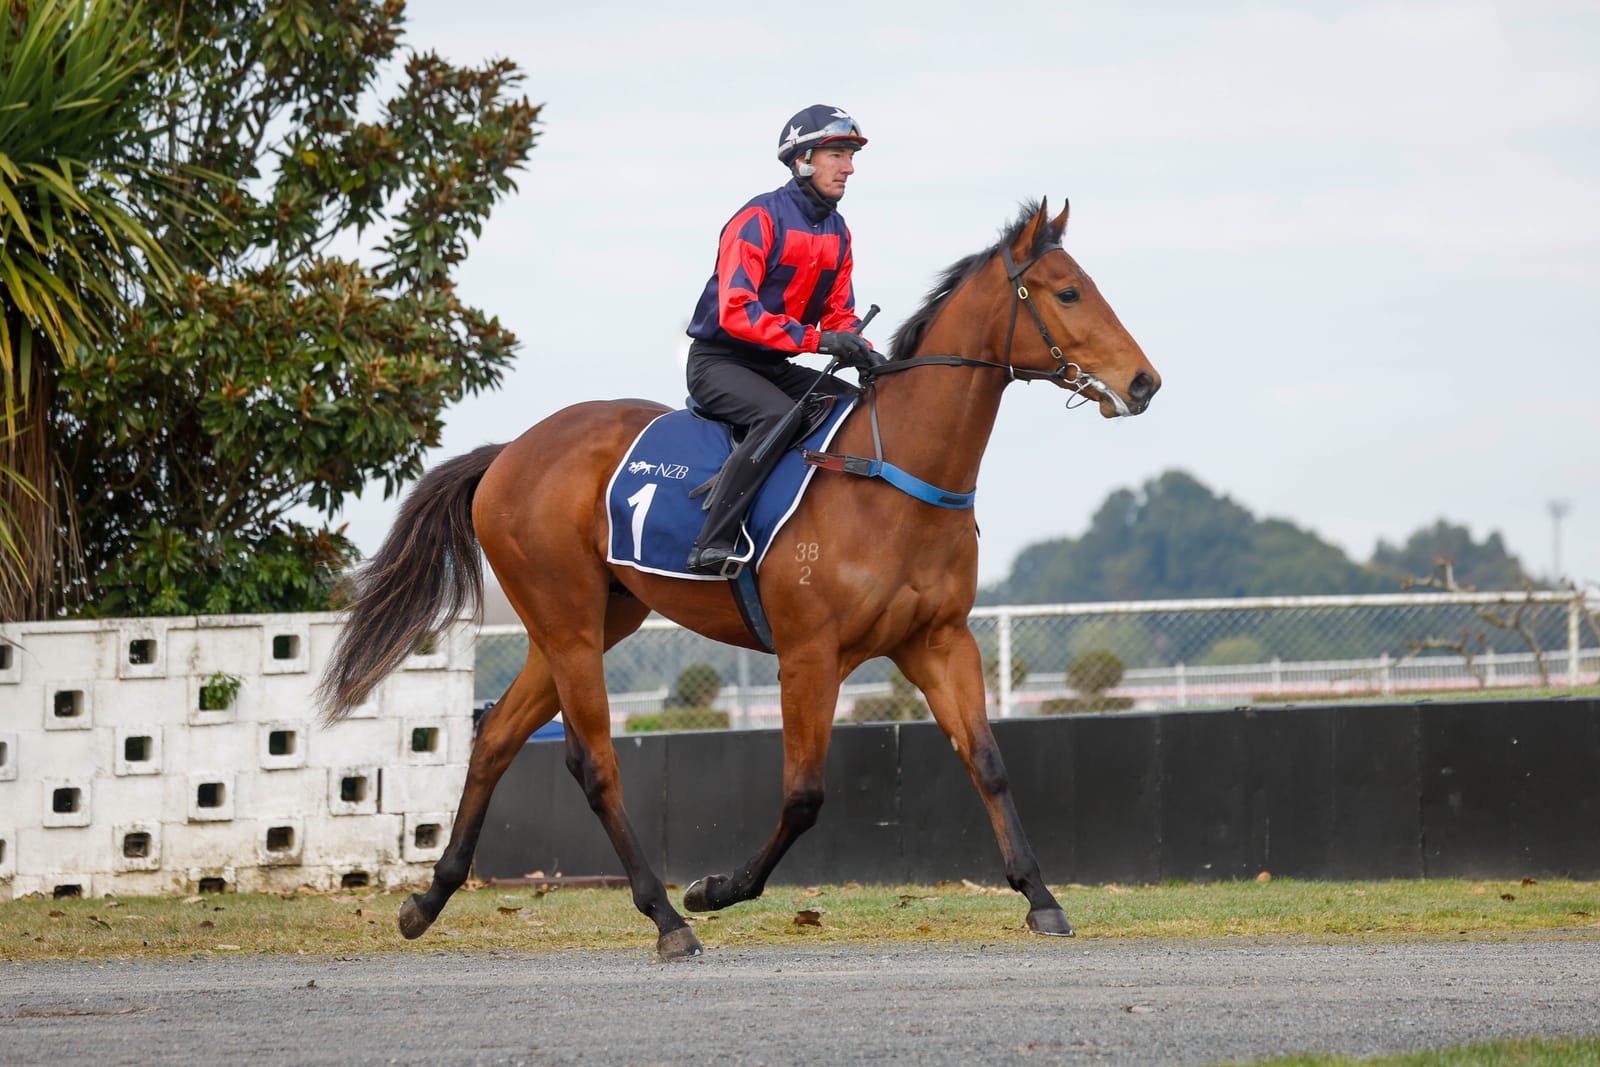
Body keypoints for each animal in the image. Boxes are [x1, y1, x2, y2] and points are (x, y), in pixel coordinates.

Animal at [315, 198, 1164, 959]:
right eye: (1067, 291)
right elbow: (804, 795)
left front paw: (1041, 896)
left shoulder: (938, 640)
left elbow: (988, 763)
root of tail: (507, 452)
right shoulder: (810, 655)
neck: (895, 475)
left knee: (494, 736)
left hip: (585, 621)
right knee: (595, 763)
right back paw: (665, 917)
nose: (1145, 382)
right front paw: (714, 888)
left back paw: (428, 898)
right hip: (568, 621)